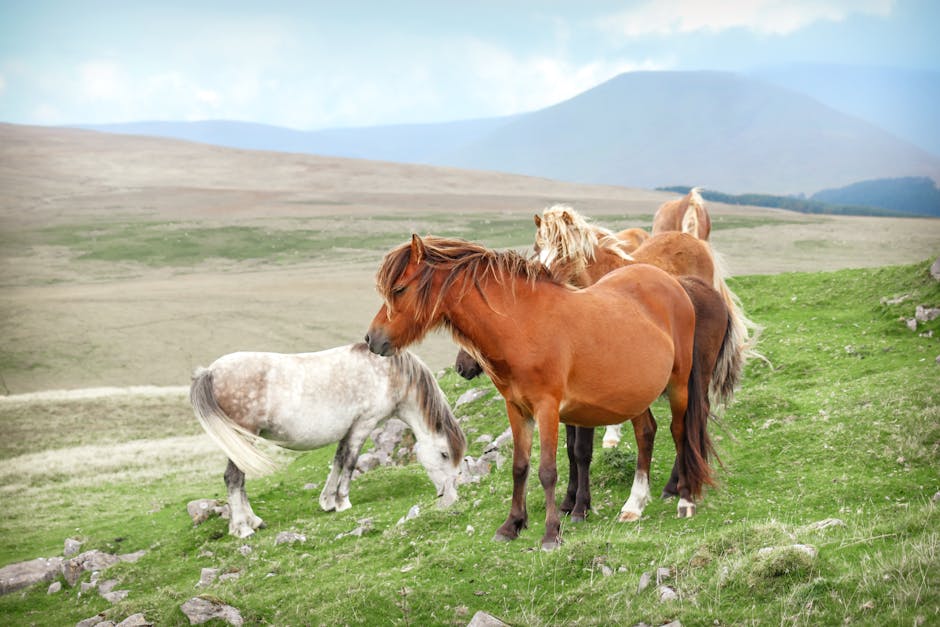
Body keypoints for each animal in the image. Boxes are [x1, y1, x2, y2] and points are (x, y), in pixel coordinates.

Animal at [190, 344, 466, 540]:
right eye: (444, 454)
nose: (447, 494)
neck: (388, 374)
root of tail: (211, 372)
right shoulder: (363, 425)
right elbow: (350, 463)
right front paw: (343, 502)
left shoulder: (347, 430)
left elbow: (338, 460)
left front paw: (327, 501)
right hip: (243, 436)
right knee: (233, 478)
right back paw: (242, 528)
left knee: (240, 480)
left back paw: (252, 521)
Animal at [366, 236, 728, 548]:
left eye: (399, 289)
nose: (372, 339)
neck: (522, 325)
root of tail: (676, 286)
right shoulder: (516, 409)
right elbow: (520, 467)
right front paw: (512, 525)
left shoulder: (548, 408)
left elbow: (549, 471)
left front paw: (552, 532)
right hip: (634, 393)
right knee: (646, 434)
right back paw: (634, 505)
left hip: (678, 386)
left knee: (680, 433)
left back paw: (683, 499)